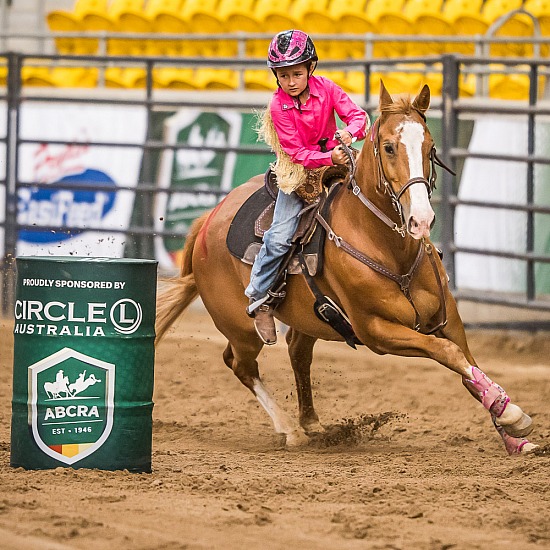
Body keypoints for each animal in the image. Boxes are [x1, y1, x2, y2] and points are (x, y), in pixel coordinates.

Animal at [155, 83, 540, 458]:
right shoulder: (377, 332)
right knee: (241, 365)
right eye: (388, 147)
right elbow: (447, 353)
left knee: (297, 352)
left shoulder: (449, 320)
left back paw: (311, 422)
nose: (421, 219)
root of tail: (208, 220)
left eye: (430, 147)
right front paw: (512, 414)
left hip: (306, 318)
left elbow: (467, 365)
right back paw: (291, 430)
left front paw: (513, 433)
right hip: (239, 327)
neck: (390, 250)